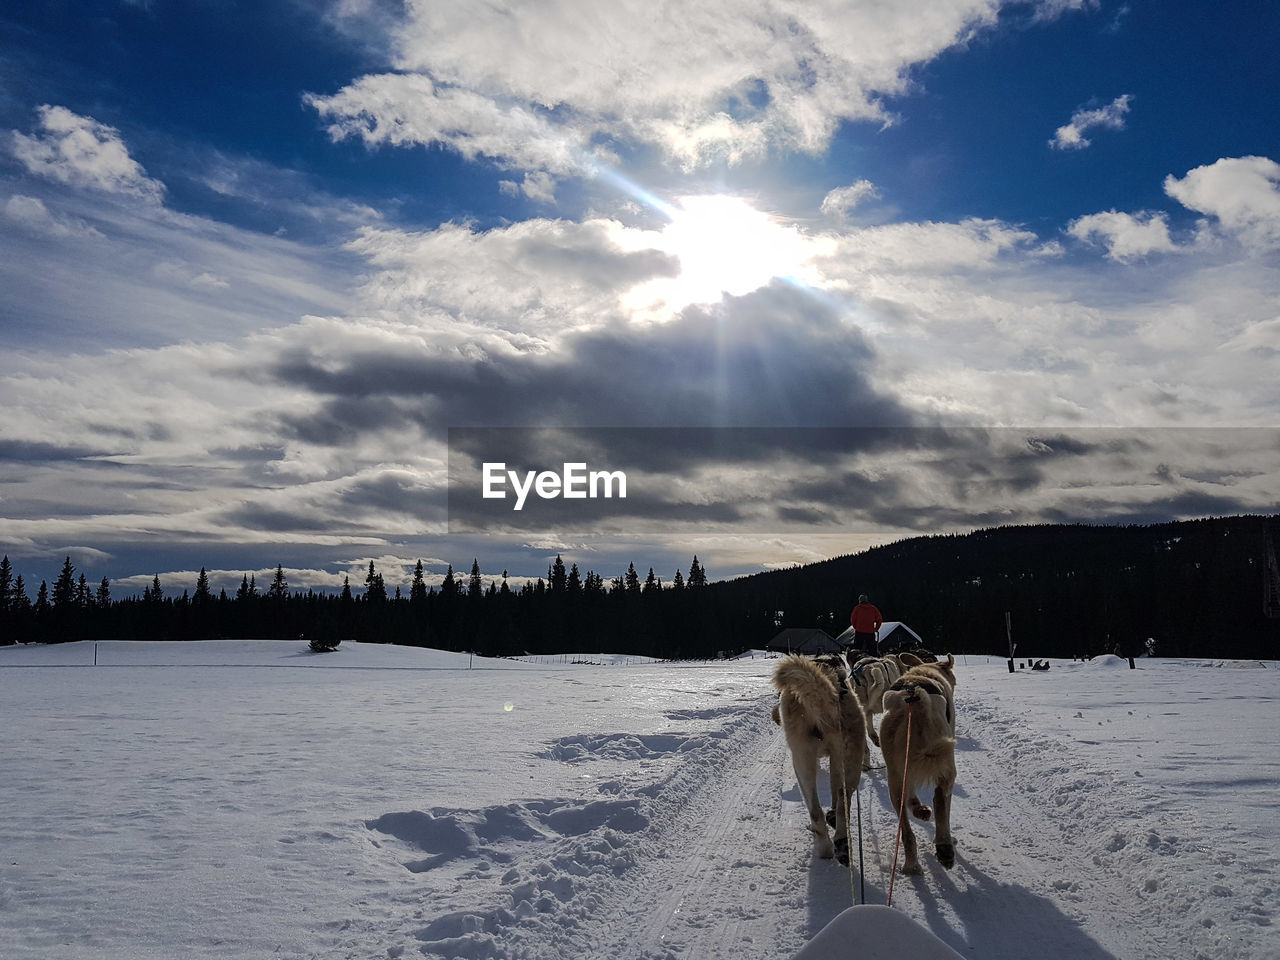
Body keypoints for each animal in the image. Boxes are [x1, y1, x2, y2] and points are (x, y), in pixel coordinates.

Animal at [768, 655, 870, 865]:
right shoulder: (836, 758)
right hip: (844, 758)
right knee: (837, 803)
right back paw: (837, 844)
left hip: (803, 761)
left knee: (818, 809)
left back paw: (828, 846)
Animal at [880, 660, 962, 875]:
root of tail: (915, 701)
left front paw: (919, 809)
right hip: (947, 767)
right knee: (940, 800)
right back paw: (944, 847)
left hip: (895, 778)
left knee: (907, 829)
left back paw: (912, 863)